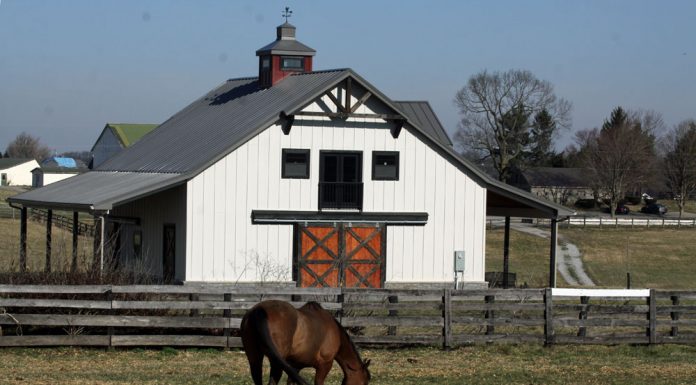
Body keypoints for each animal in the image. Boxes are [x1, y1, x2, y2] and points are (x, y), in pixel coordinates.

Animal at [239, 300, 370, 384]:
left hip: (254, 358)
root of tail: (259, 311)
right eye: (364, 383)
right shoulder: (324, 365)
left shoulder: (295, 366)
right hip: (276, 362)